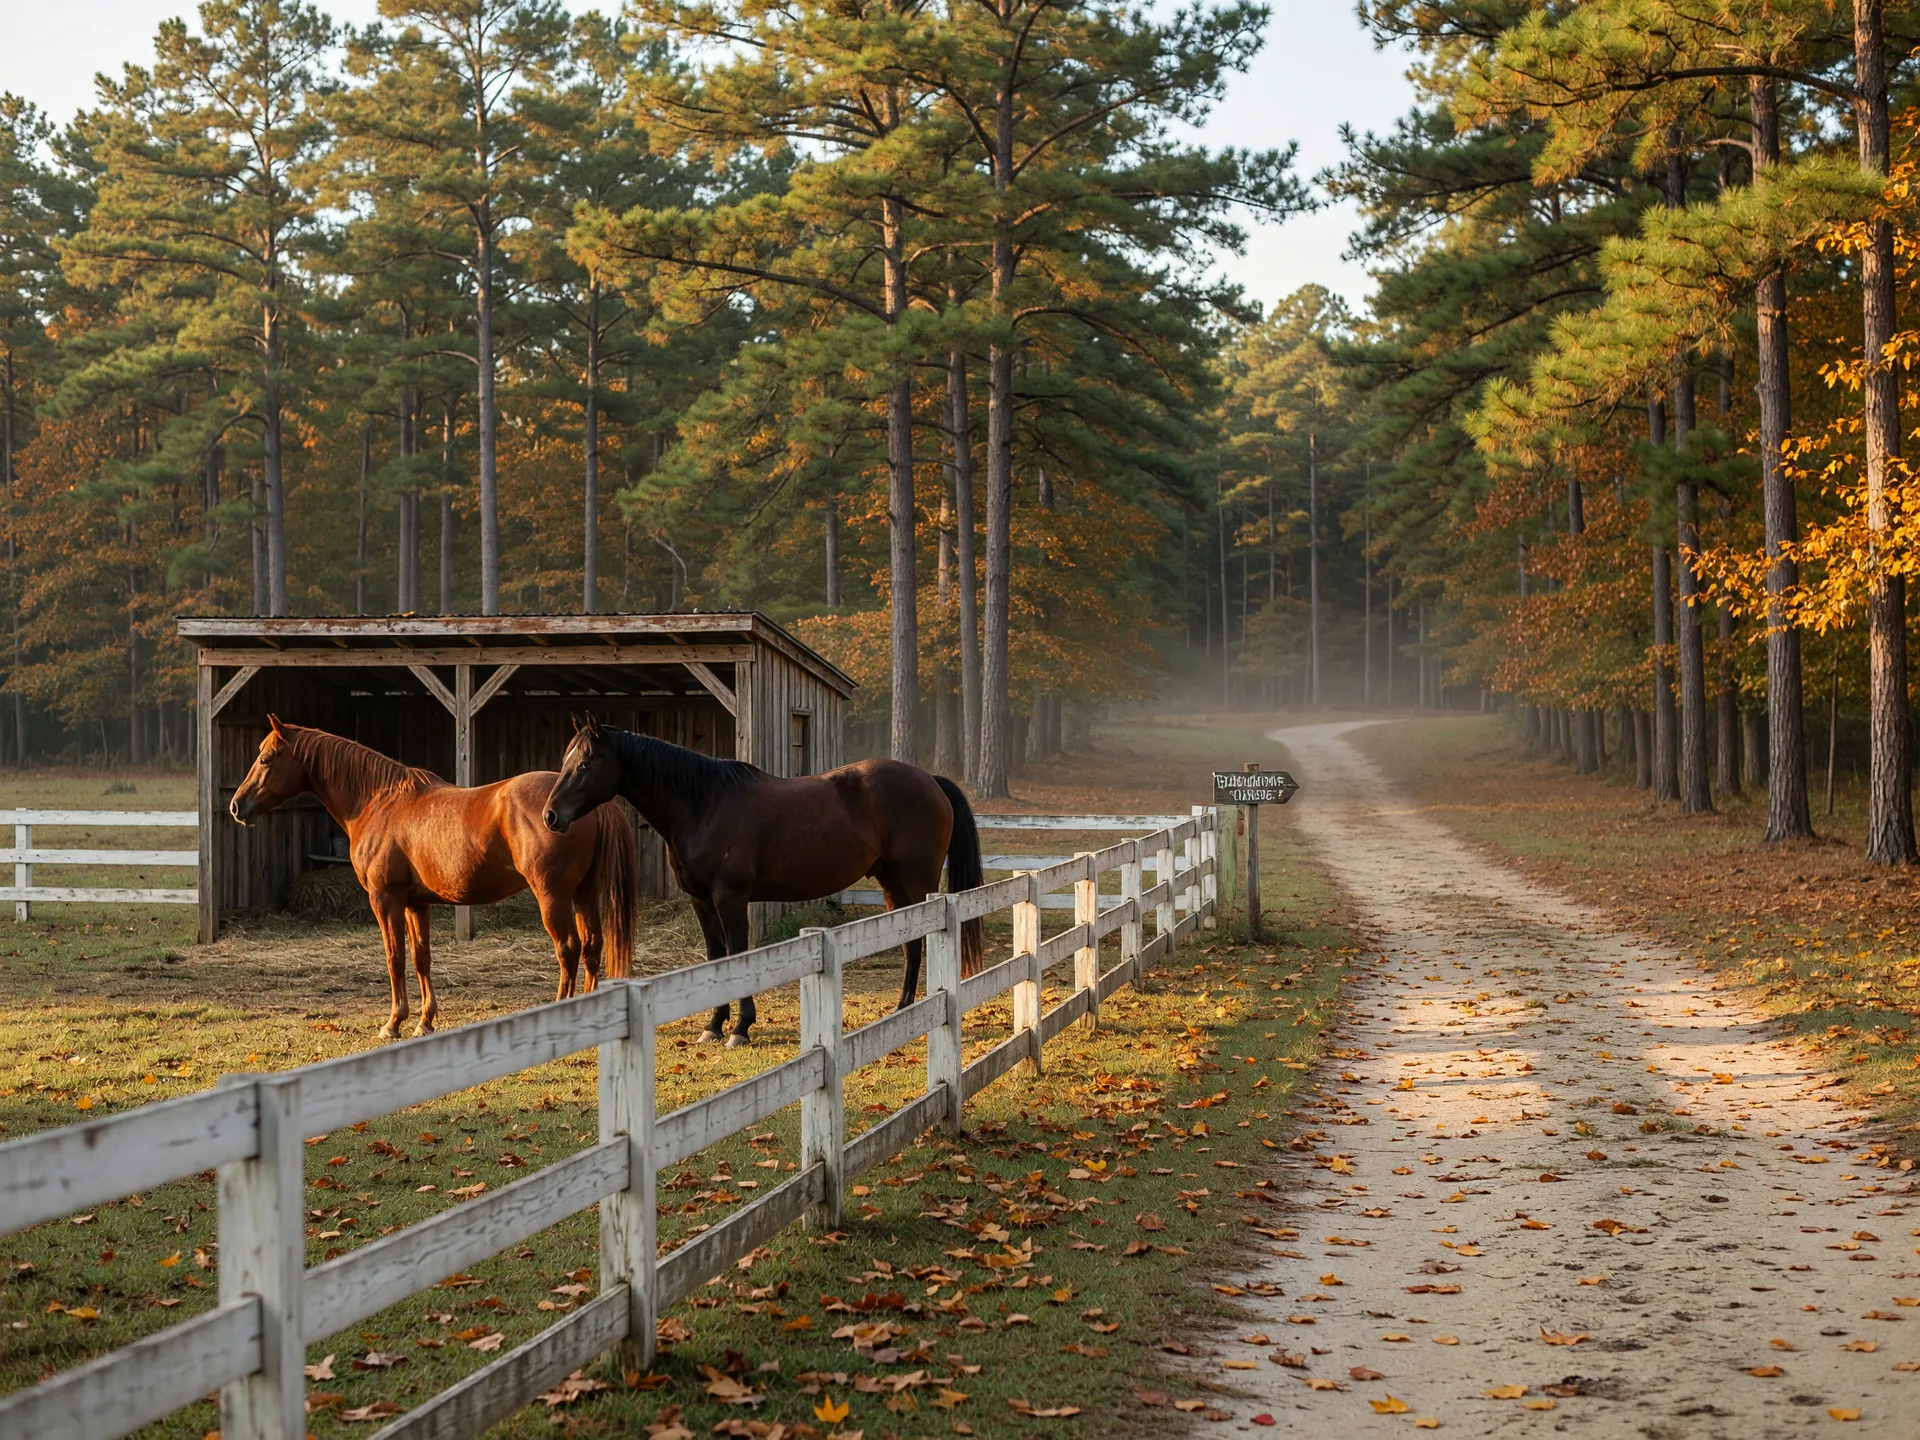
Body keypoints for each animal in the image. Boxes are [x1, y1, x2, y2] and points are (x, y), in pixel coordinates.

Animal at [229, 717, 636, 1038]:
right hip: (584, 893)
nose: (237, 806)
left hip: (553, 896)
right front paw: (424, 1021)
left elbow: (394, 958)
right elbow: (421, 957)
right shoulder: (416, 904)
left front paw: (393, 1023)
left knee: (568, 949)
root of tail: (584, 806)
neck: (379, 801)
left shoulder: (386, 900)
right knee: (592, 946)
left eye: (265, 758)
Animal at [540, 715, 983, 1046]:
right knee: (910, 941)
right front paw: (713, 1025)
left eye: (584, 764)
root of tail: (930, 779)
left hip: (917, 881)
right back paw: (903, 1007)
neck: (704, 804)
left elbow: (737, 956)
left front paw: (740, 1027)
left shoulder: (731, 899)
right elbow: (717, 957)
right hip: (892, 883)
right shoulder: (702, 902)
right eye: (565, 759)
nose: (551, 816)